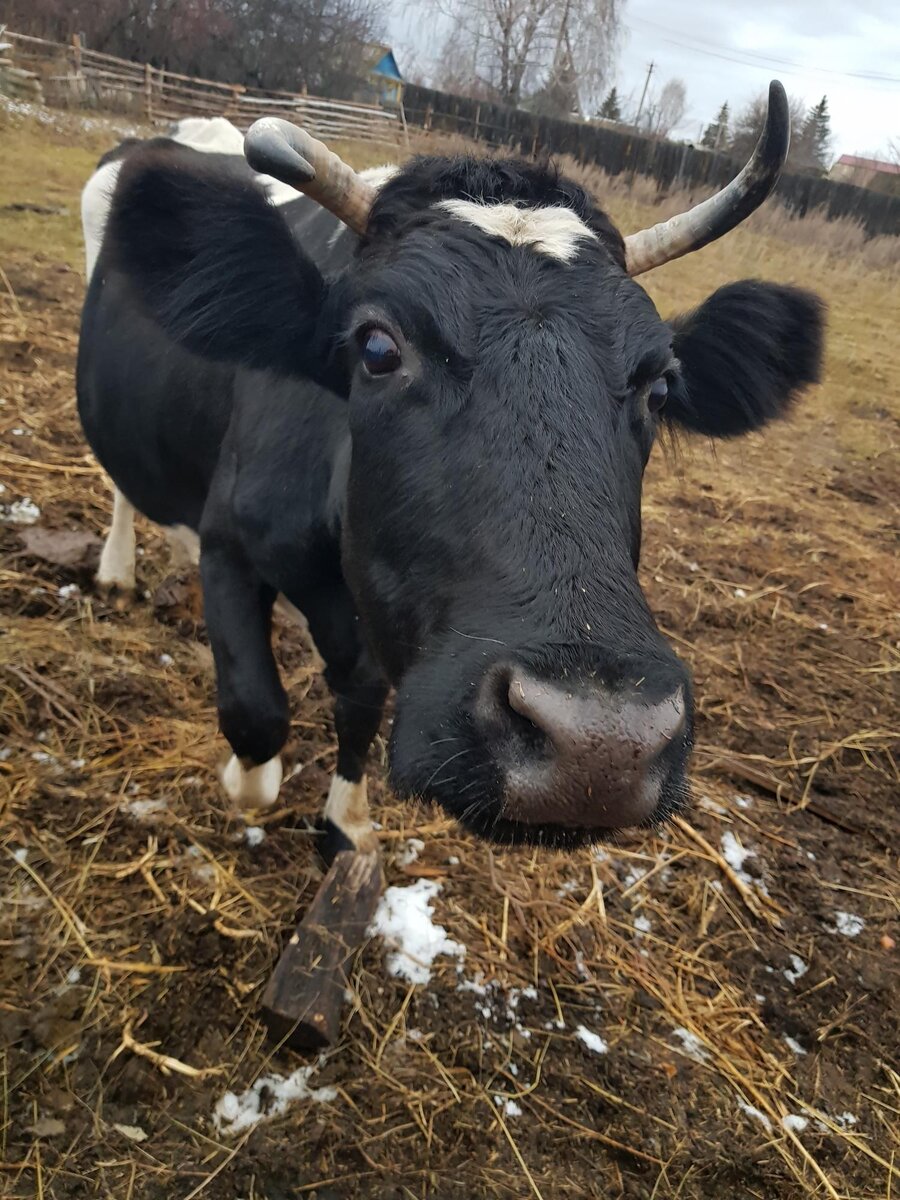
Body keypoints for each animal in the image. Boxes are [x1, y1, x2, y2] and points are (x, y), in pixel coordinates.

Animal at [77, 79, 825, 859]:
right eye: (377, 347)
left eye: (661, 385)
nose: (598, 746)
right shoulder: (232, 542)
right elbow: (256, 713)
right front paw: (247, 784)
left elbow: (360, 703)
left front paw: (346, 824)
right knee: (125, 487)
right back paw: (118, 569)